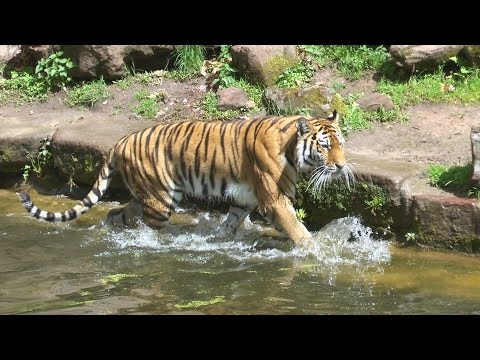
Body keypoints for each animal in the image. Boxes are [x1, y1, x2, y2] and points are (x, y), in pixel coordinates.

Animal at [17, 109, 352, 245]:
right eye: (325, 146)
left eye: (341, 144)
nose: (341, 166)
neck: (293, 151)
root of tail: (120, 141)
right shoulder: (275, 199)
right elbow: (298, 229)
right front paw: (316, 251)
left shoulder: (244, 199)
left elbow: (230, 224)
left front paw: (218, 239)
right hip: (161, 199)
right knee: (150, 230)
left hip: (146, 195)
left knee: (117, 213)